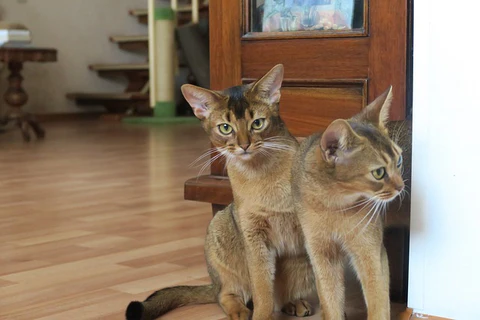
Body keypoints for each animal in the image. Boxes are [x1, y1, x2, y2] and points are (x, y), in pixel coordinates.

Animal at [125, 63, 316, 320]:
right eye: (225, 128)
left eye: (258, 123)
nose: (244, 145)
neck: (261, 173)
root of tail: (213, 283)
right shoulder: (253, 236)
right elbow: (262, 290)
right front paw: (261, 316)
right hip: (221, 224)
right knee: (226, 295)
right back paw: (240, 311)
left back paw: (294, 303)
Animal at [290, 87, 404, 320]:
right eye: (379, 173)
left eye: (399, 161)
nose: (401, 187)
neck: (335, 206)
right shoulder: (321, 254)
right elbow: (330, 301)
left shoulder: (371, 251)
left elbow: (378, 303)